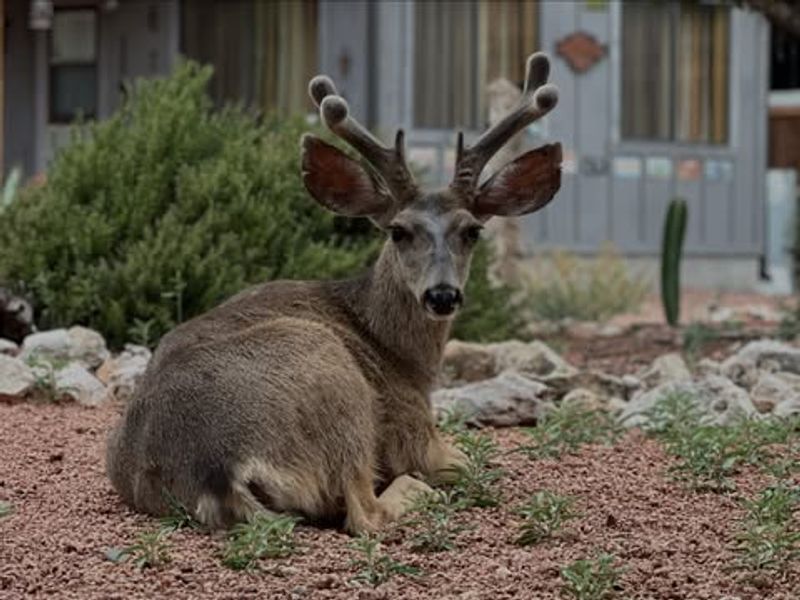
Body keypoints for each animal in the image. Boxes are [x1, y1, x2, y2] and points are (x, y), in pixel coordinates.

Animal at [106, 52, 561, 534]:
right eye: (399, 231)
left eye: (472, 231)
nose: (442, 295)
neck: (399, 353)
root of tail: (219, 472)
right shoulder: (414, 430)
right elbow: (467, 462)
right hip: (337, 382)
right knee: (365, 511)